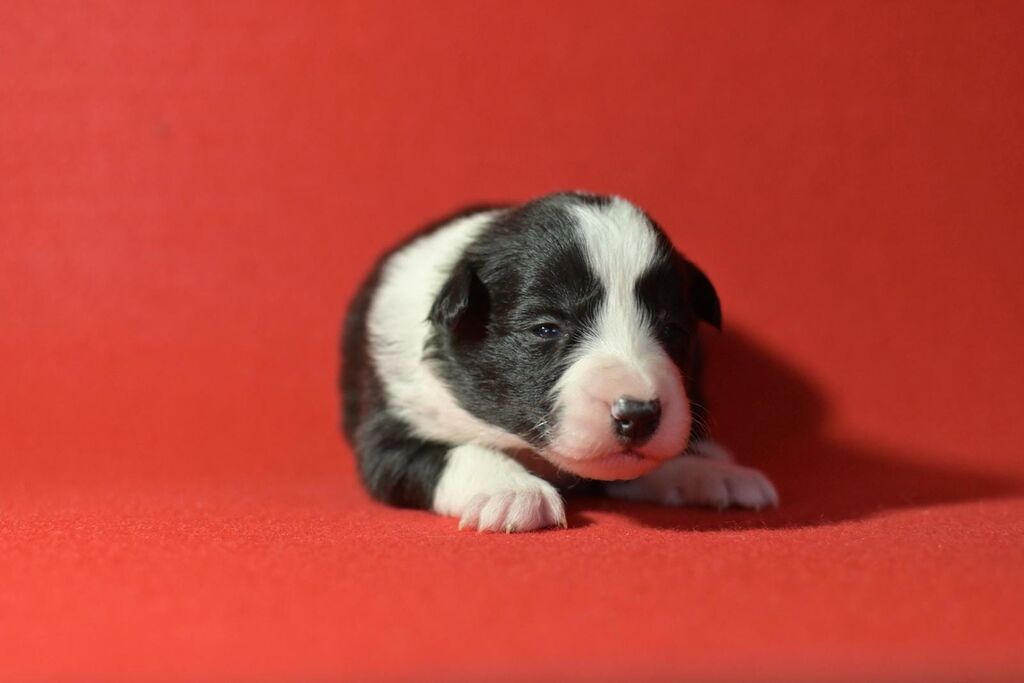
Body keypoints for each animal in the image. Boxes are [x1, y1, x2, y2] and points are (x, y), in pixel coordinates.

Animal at [339, 192, 778, 532]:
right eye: (546, 329)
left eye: (672, 330)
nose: (638, 415)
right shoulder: (390, 427)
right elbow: (448, 452)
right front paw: (511, 491)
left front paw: (713, 475)